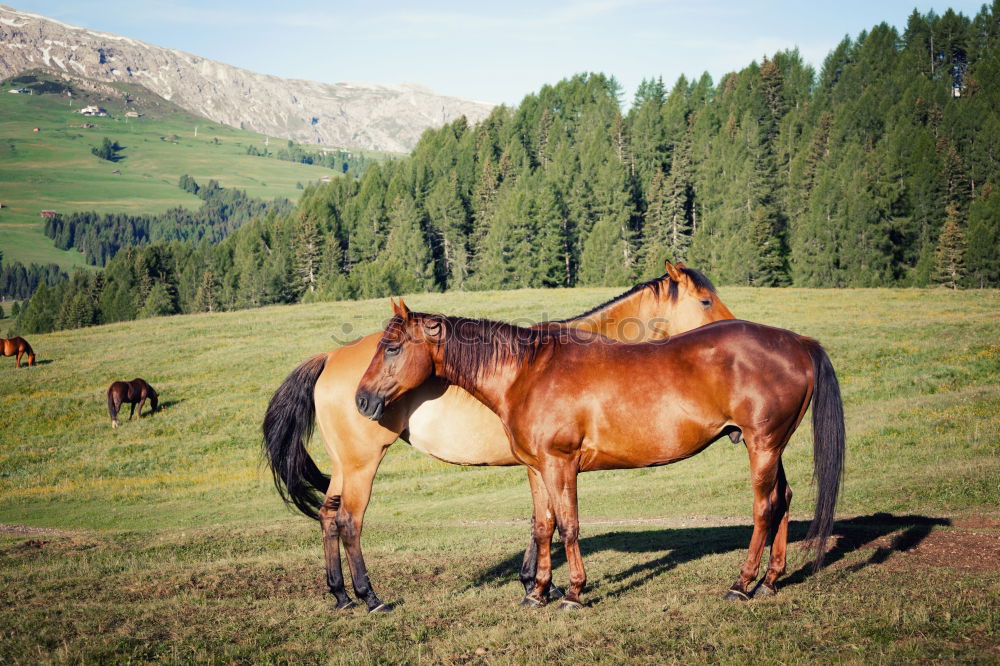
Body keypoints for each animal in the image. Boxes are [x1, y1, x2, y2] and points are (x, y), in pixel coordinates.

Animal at [262, 260, 740, 612]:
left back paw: (341, 595)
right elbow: (550, 524)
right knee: (349, 521)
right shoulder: (546, 463)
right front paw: (543, 586)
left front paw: (536, 585)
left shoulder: (539, 464)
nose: (734, 328)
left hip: (344, 465)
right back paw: (369, 596)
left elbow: (541, 523)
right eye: (705, 299)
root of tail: (330, 357)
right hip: (362, 463)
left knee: (328, 517)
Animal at [358, 298, 844, 608]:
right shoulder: (536, 468)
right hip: (770, 446)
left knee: (765, 508)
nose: (362, 401)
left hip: (762, 445)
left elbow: (569, 527)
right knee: (782, 501)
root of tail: (799, 343)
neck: (527, 370)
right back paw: (770, 582)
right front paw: (537, 593)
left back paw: (742, 584)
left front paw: (573, 593)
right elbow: (544, 528)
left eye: (393, 347)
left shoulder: (561, 464)